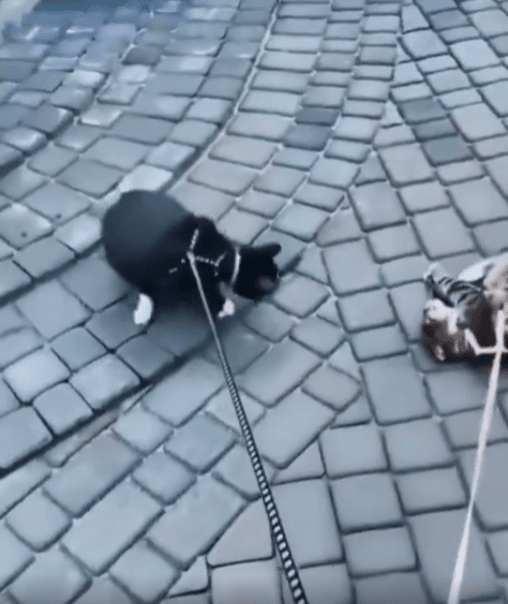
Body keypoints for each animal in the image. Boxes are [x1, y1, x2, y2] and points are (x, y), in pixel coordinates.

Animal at [102, 189, 282, 325]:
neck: (216, 257)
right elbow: (204, 294)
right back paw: (144, 310)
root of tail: (117, 202)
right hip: (125, 261)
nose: (277, 285)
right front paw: (223, 306)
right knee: (141, 283)